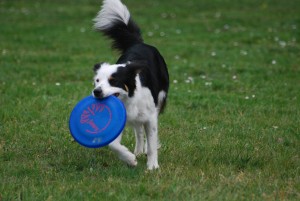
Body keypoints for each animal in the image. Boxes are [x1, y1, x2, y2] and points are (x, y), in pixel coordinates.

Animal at [92, 0, 169, 170]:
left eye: (113, 80)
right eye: (97, 81)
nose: (96, 92)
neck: (128, 99)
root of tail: (139, 43)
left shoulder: (150, 116)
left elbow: (152, 142)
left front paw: (152, 166)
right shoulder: (121, 117)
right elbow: (113, 144)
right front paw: (130, 159)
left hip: (159, 99)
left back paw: (144, 150)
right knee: (138, 131)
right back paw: (138, 151)